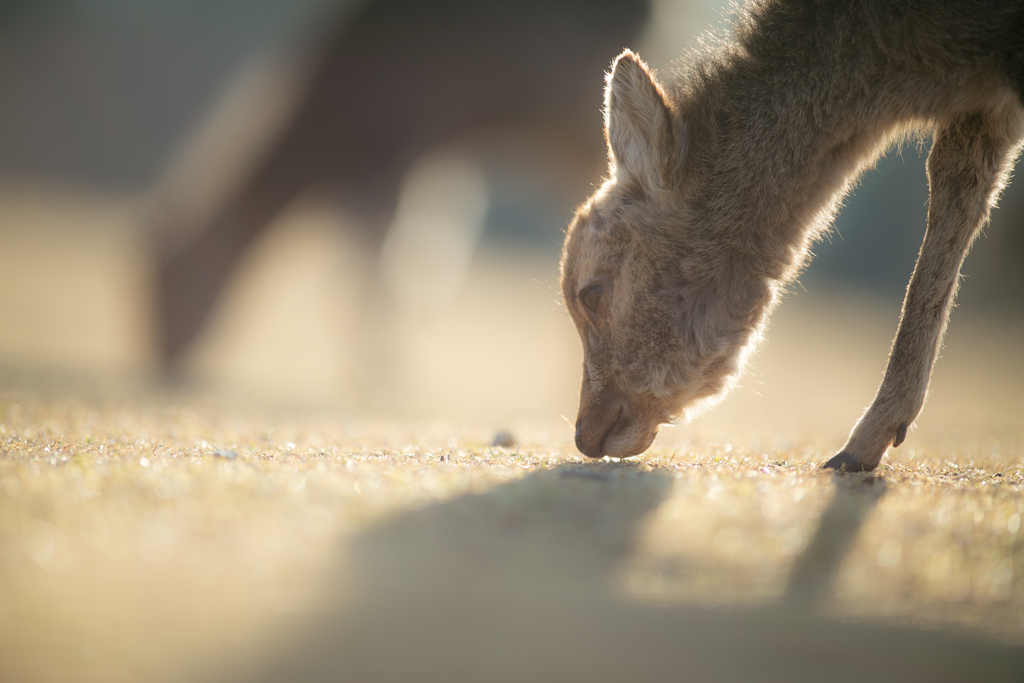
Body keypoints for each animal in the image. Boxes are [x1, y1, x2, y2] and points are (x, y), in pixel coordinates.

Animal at [561, 0, 1024, 471]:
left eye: (591, 293)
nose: (585, 434)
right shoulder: (985, 105)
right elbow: (957, 187)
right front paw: (869, 440)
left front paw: (862, 442)